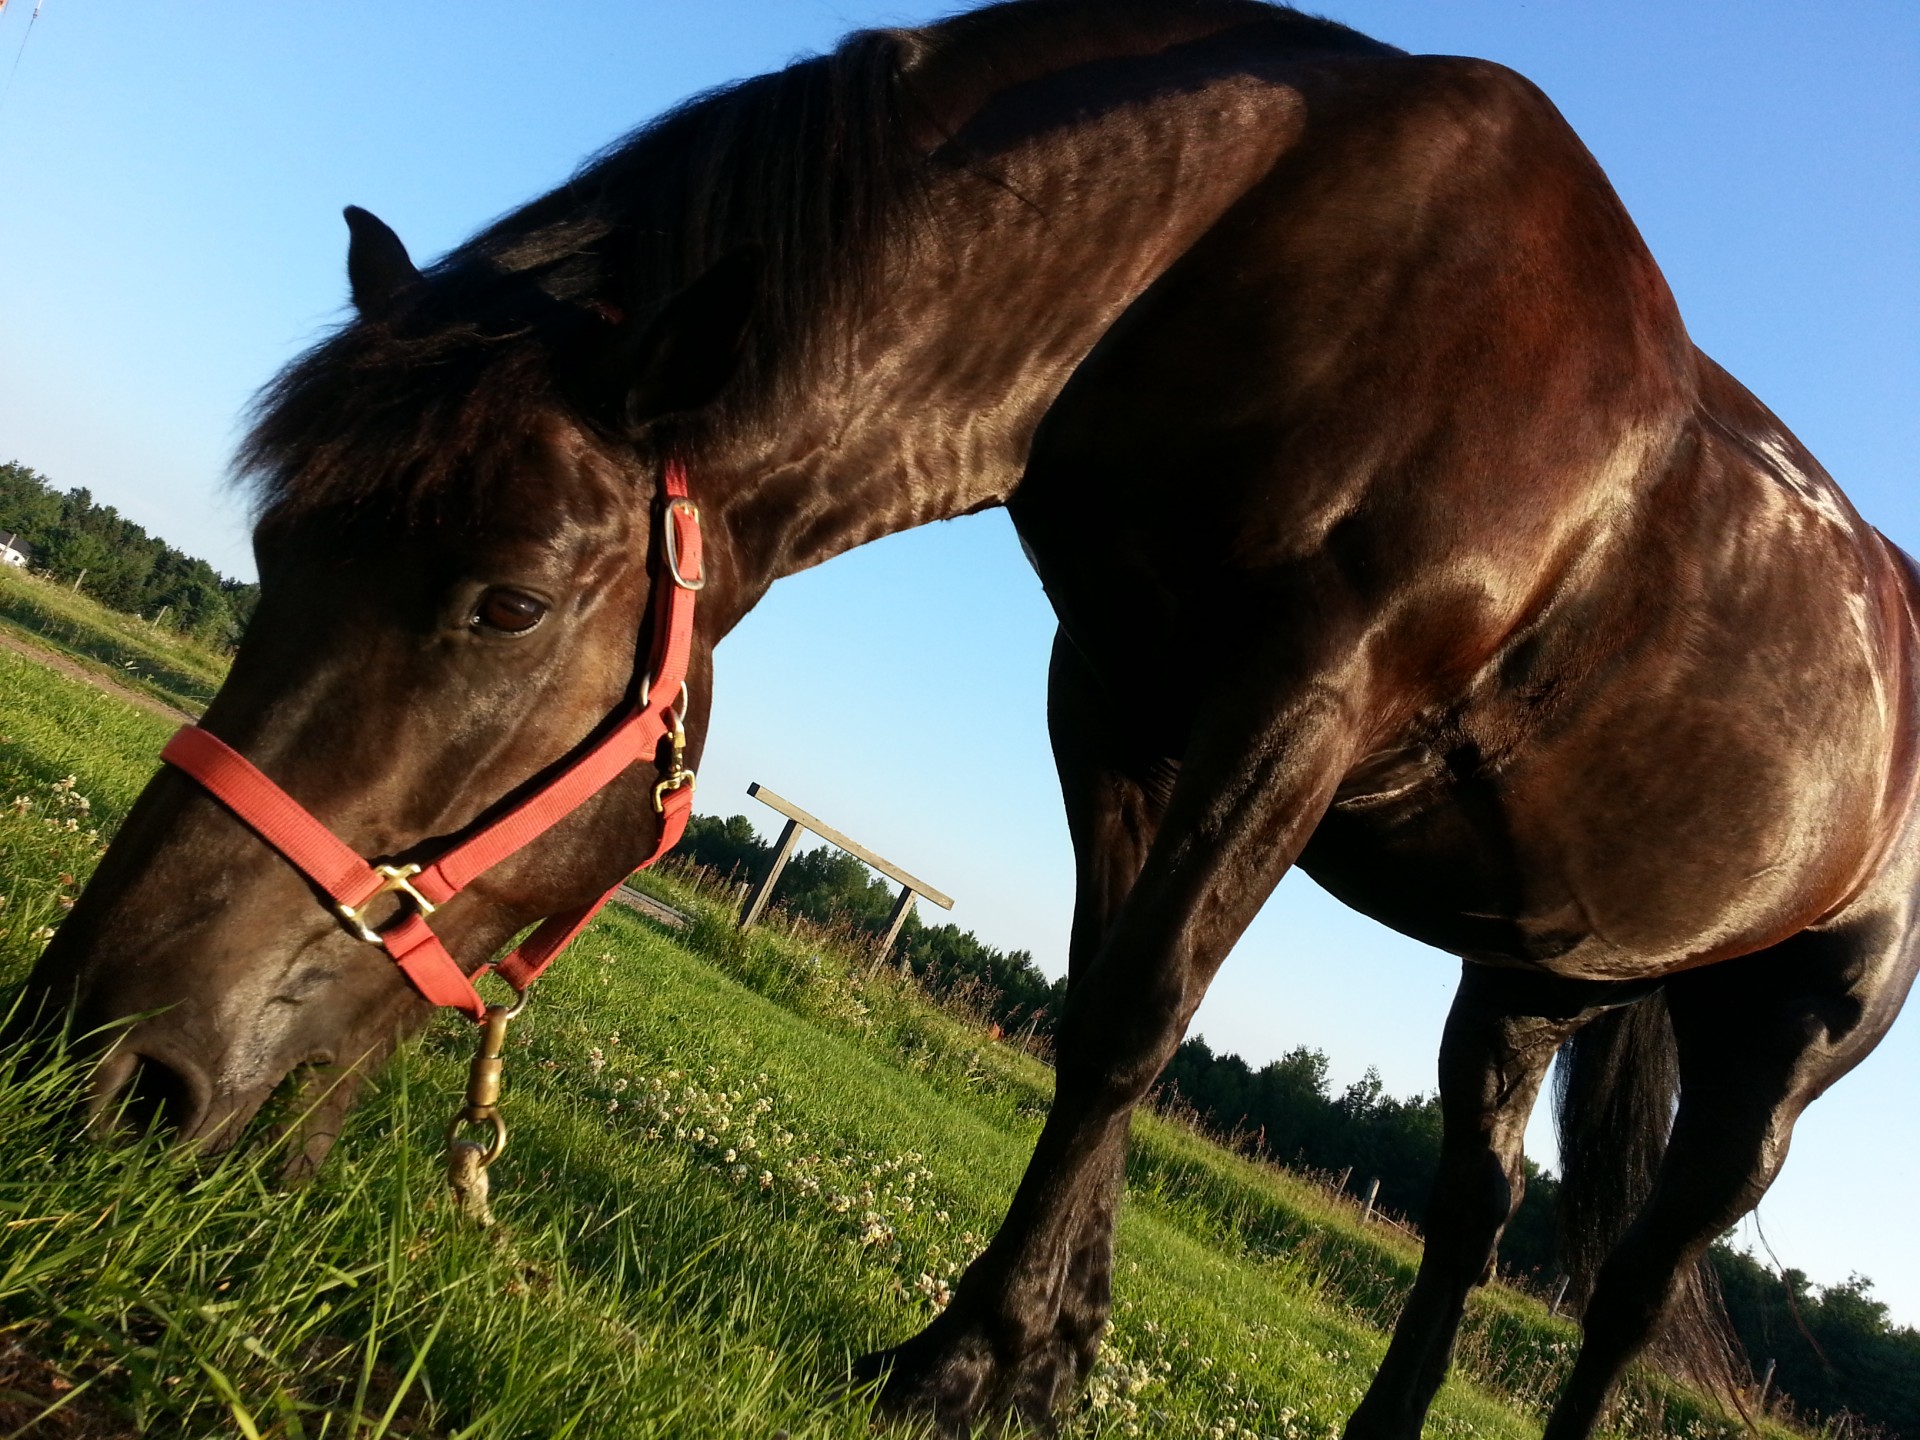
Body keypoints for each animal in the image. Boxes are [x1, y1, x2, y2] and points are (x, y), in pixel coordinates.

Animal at [18, 0, 1920, 1436]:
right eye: (277, 550)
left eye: (507, 602)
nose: (87, 1061)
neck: (1265, 264)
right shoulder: (1121, 706)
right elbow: (1099, 1015)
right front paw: (1052, 1357)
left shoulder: (1302, 705)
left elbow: (1135, 1022)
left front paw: (969, 1364)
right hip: (1523, 984)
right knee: (1476, 1216)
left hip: (1786, 1050)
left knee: (1636, 1282)